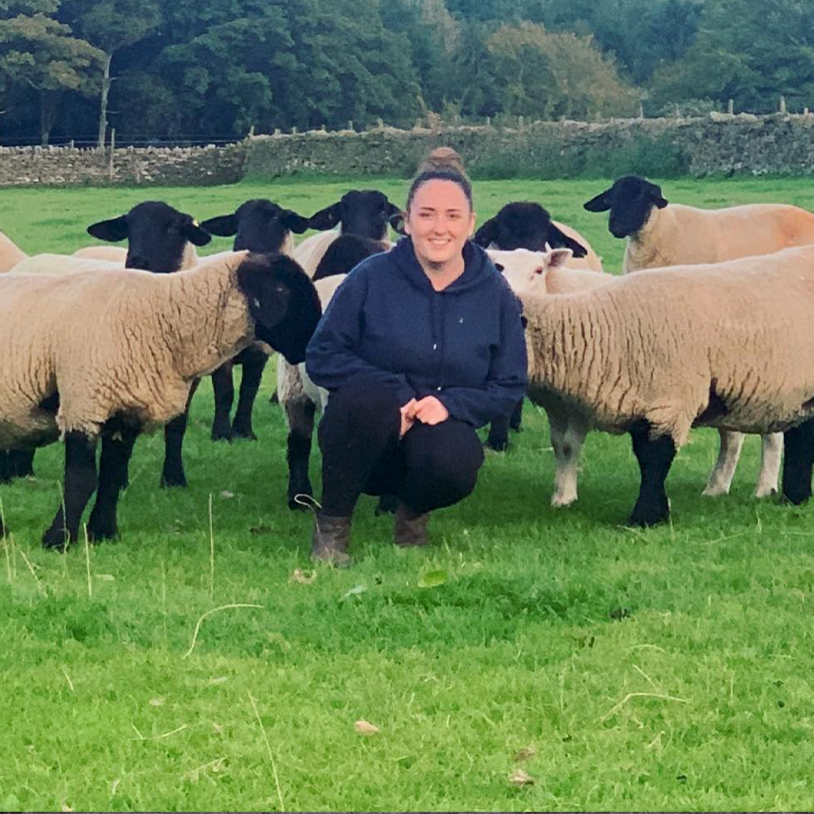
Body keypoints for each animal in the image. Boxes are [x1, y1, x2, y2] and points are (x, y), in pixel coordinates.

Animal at [0, 252, 322, 552]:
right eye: (289, 291)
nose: (313, 347)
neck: (163, 317)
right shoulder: (85, 402)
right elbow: (81, 478)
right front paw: (58, 540)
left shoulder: (124, 413)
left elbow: (111, 477)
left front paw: (104, 533)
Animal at [197, 201, 312, 444]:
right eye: (238, 222)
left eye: (277, 218)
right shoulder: (222, 355)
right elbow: (225, 392)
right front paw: (222, 434)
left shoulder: (260, 353)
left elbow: (248, 392)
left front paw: (245, 431)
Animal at [516, 245, 814, 528]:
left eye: (538, 271)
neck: (603, 331)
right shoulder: (642, 402)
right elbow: (642, 456)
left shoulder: (668, 401)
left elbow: (654, 459)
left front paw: (645, 518)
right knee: (802, 435)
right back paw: (794, 497)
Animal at [584, 175, 814, 500]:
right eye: (612, 197)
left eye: (641, 196)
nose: (615, 225)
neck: (663, 229)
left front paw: (720, 483)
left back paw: (764, 486)